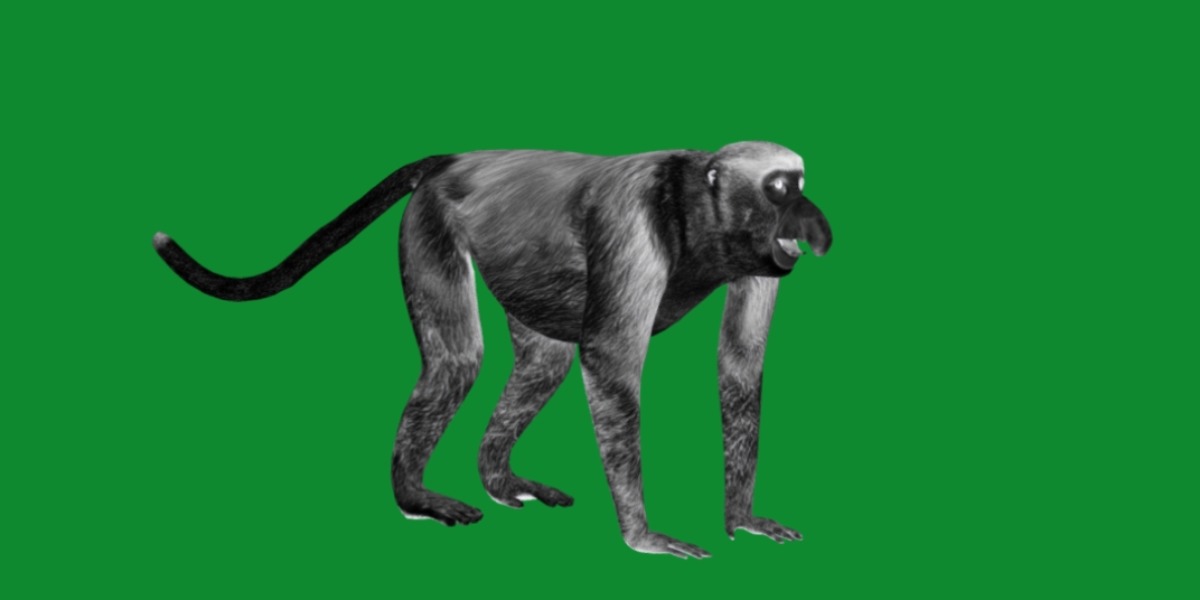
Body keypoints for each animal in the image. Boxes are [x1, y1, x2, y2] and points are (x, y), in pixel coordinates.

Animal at [153, 141, 833, 559]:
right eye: (780, 189)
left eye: (799, 185)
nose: (811, 220)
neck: (694, 207)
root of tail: (457, 159)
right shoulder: (631, 231)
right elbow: (610, 363)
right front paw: (641, 534)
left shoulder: (761, 264)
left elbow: (739, 369)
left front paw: (740, 516)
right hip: (429, 221)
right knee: (456, 361)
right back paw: (415, 496)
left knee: (543, 362)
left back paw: (497, 478)